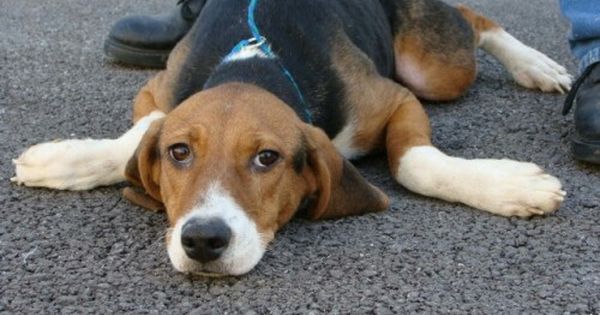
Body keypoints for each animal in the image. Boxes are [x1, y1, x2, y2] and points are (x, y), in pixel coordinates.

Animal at [10, 0, 572, 276]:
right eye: (179, 152)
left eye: (267, 158)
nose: (203, 240)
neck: (257, 64)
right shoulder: (157, 89)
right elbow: (138, 135)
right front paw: (60, 160)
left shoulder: (396, 99)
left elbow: (415, 162)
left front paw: (511, 186)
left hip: (434, 71)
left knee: (475, 21)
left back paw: (535, 65)